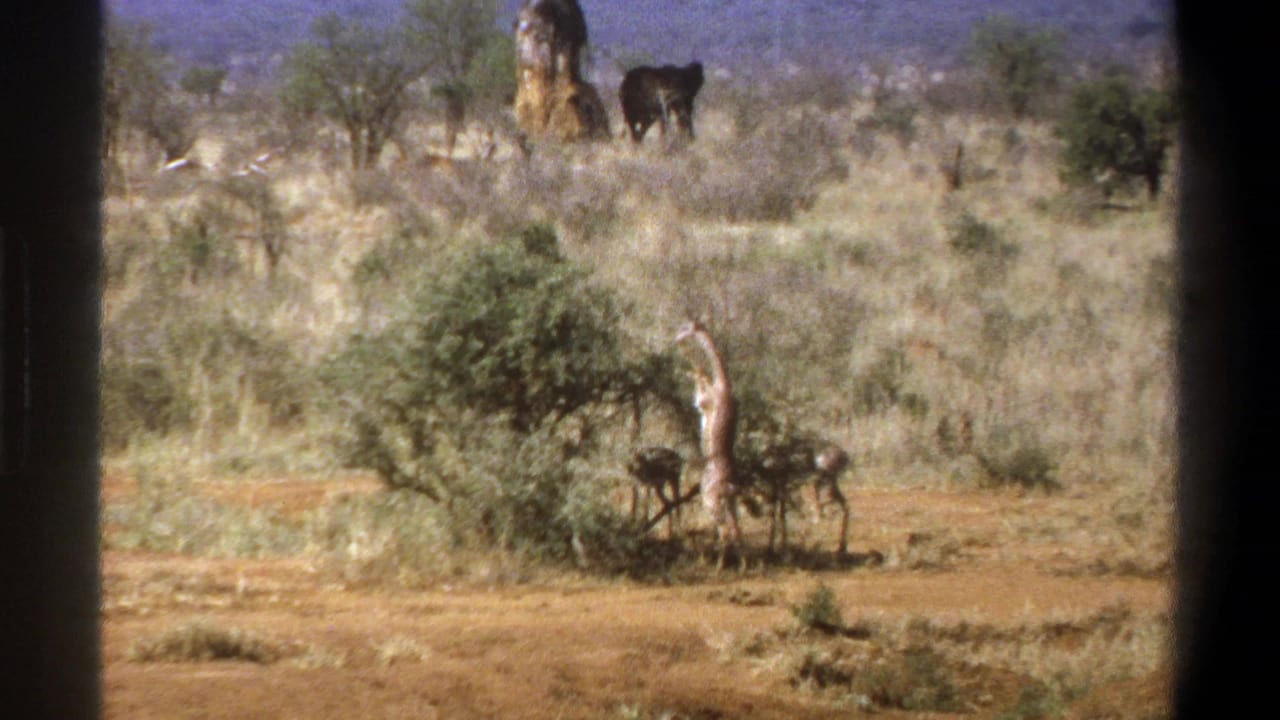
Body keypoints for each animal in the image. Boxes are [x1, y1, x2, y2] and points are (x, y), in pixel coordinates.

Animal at [676, 320, 744, 572]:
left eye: (686, 328)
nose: (677, 336)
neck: (723, 383)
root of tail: (731, 486)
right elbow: (699, 372)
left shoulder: (703, 403)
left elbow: (697, 373)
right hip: (730, 503)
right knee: (736, 530)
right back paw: (744, 565)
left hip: (711, 501)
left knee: (725, 531)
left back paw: (718, 567)